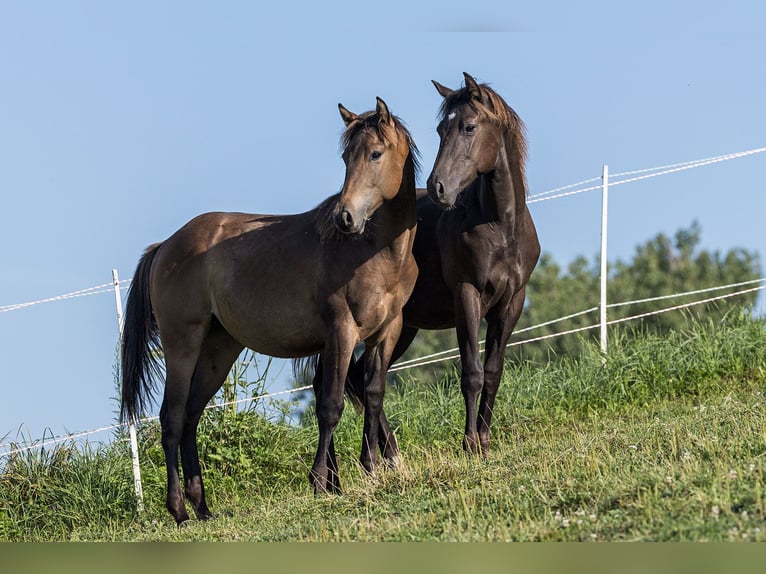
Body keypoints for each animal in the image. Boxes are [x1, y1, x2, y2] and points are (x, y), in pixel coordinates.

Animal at [120, 99, 420, 528]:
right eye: (346, 157)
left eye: (376, 154)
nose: (344, 217)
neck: (374, 252)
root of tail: (165, 246)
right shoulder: (341, 332)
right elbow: (330, 407)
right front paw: (320, 483)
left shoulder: (386, 333)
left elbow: (374, 396)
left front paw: (372, 468)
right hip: (183, 345)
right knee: (172, 418)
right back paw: (179, 510)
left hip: (218, 351)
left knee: (191, 415)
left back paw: (202, 507)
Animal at [332, 73, 544, 468]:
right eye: (440, 129)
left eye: (469, 127)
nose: (438, 187)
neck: (500, 228)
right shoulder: (467, 296)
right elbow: (472, 373)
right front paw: (470, 445)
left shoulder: (512, 303)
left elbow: (493, 372)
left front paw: (486, 442)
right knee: (361, 379)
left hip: (403, 328)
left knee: (360, 378)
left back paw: (391, 455)